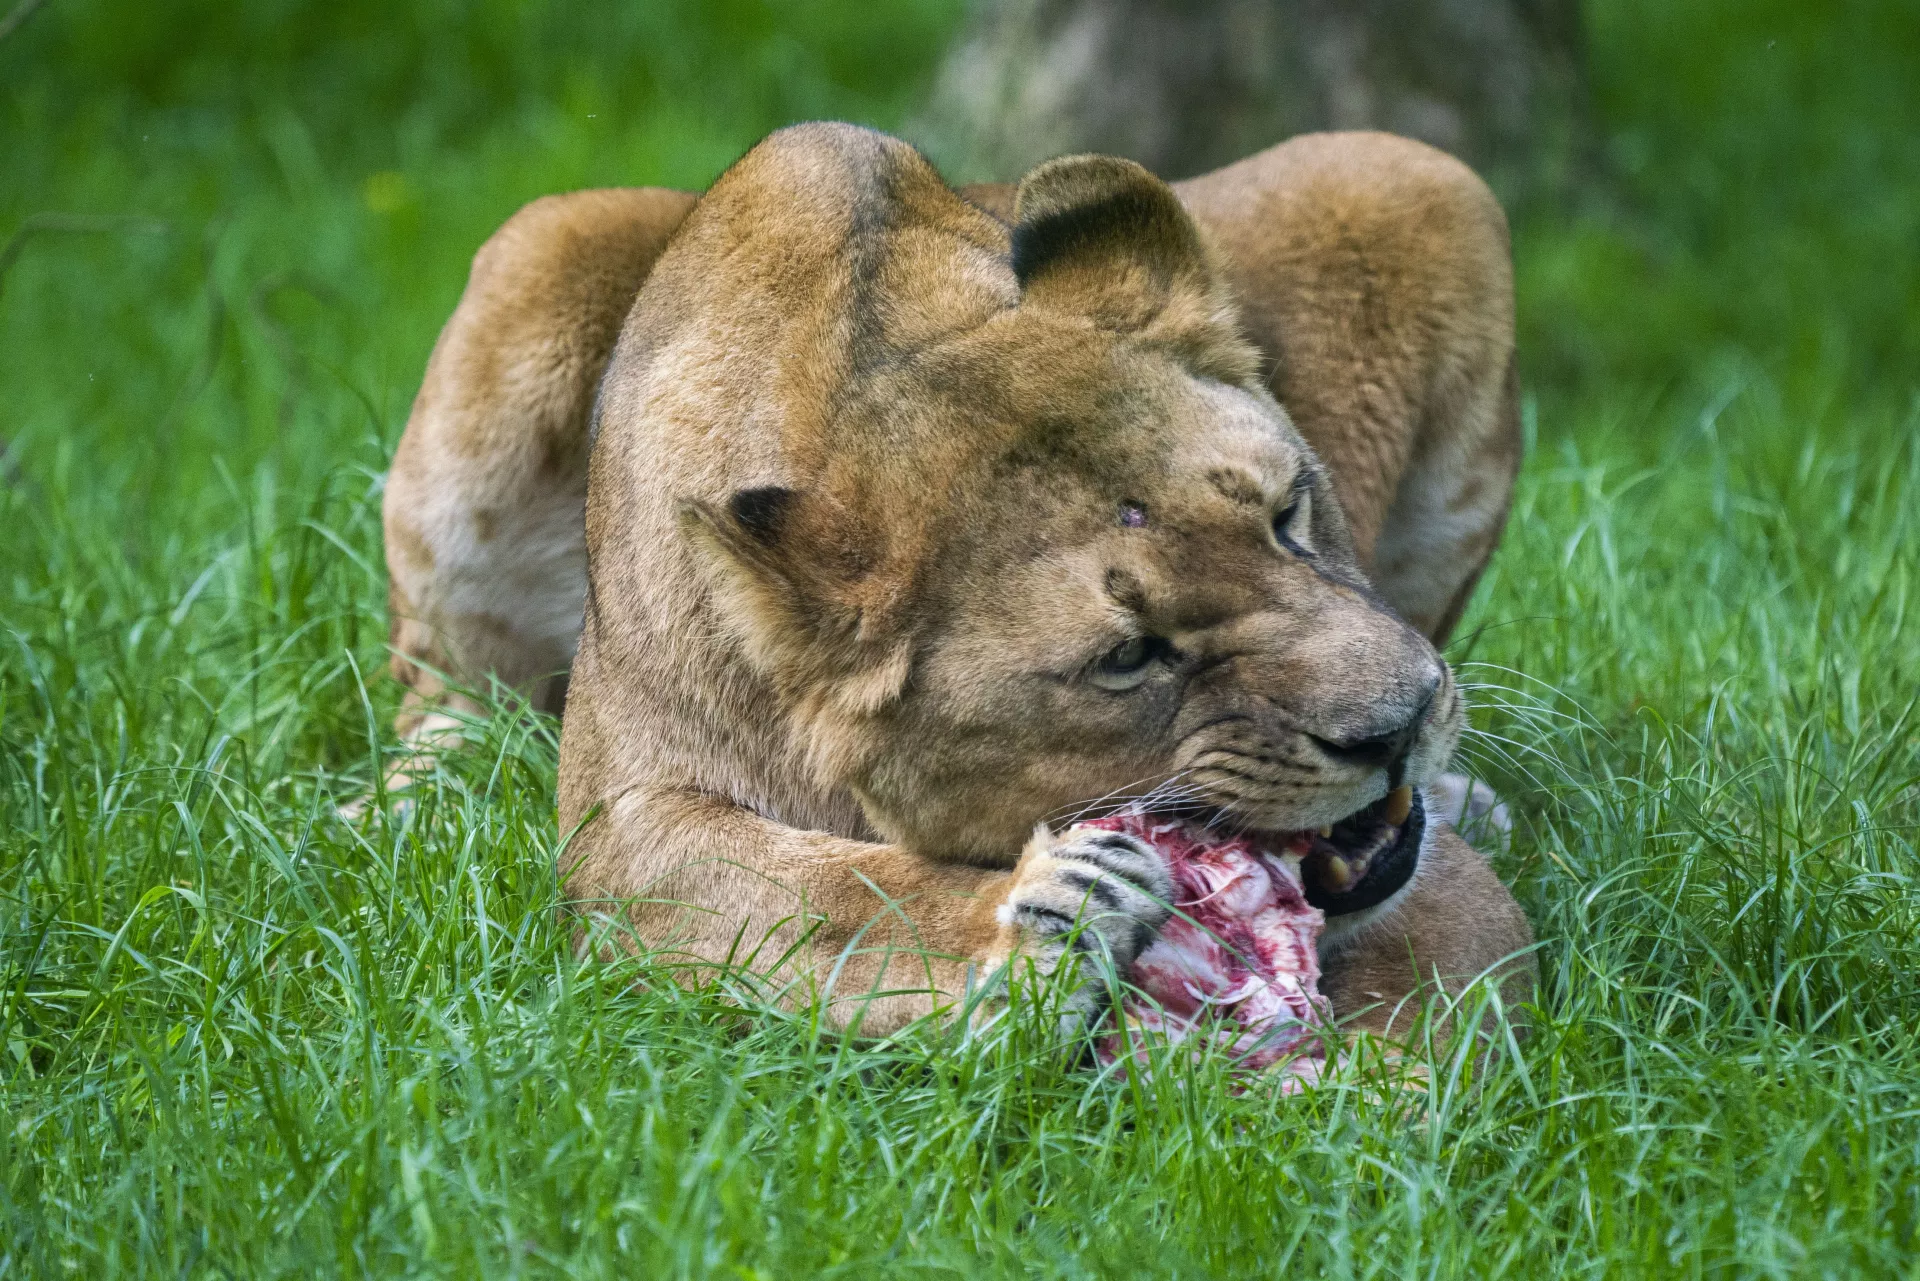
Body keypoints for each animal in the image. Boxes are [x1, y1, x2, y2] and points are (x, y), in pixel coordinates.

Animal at [380, 123, 1534, 1045]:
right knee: (438, 689)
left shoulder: (1434, 889)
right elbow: (835, 892)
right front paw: (1046, 921)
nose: (1402, 725)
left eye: (1289, 514)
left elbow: (1455, 985)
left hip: (1408, 173)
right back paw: (400, 808)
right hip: (540, 254)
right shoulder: (618, 830)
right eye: (1129, 656)